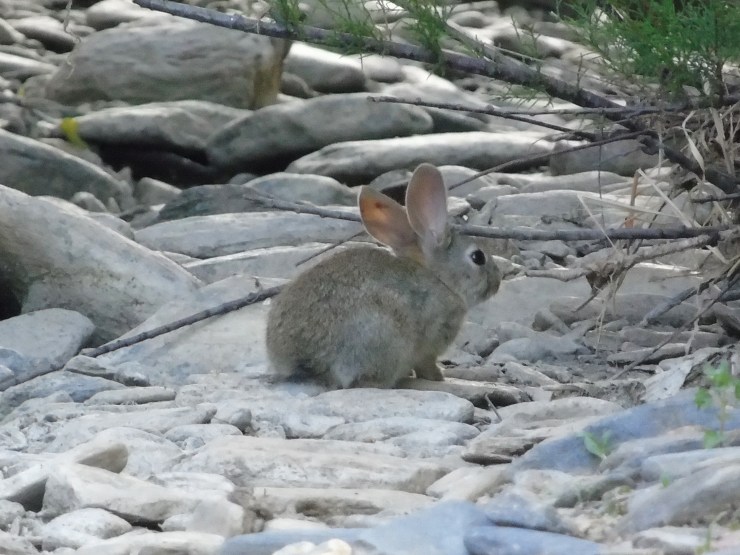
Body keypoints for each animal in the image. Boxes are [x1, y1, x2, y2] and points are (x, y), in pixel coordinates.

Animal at [266, 163, 501, 389]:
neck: (440, 279)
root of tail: (307, 362)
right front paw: (439, 377)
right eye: (478, 257)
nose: (497, 282)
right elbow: (426, 363)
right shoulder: (432, 338)